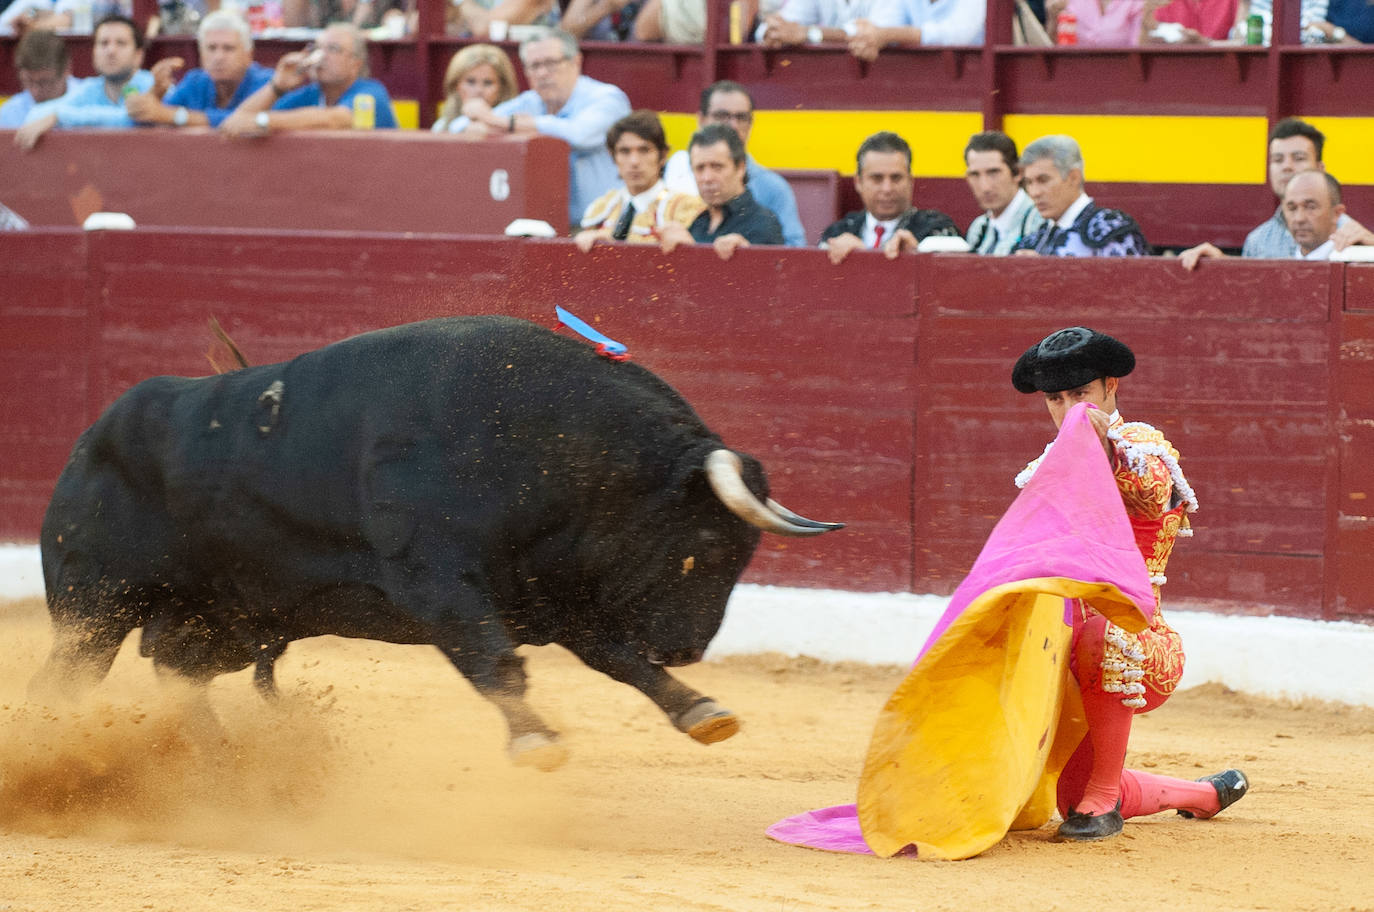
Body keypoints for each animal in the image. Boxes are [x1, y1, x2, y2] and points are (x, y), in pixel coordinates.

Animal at [37, 315, 840, 769]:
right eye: (705, 540)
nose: (689, 646)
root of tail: (84, 446)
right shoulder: (437, 585)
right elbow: (495, 664)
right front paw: (536, 743)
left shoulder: (557, 597)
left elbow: (621, 662)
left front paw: (702, 710)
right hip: (94, 609)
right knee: (65, 684)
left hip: (227, 621)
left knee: (177, 673)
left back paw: (220, 763)